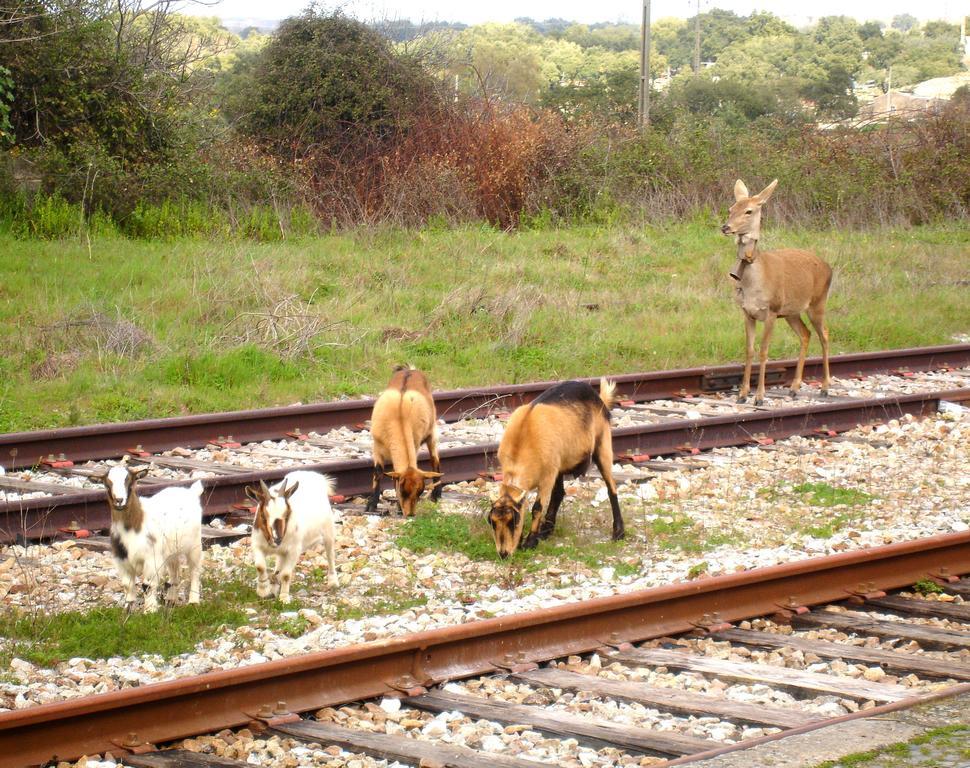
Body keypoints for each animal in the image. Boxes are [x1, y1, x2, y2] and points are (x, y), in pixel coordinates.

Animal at [244, 472, 338, 604]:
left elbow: (286, 575)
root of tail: (317, 476)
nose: (277, 539)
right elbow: (260, 567)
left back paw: (333, 582)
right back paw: (274, 586)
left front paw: (284, 598)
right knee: (279, 563)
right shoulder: (257, 545)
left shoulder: (294, 550)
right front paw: (264, 591)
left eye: (287, 513)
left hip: (328, 530)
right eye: (263, 515)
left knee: (330, 555)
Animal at [366, 366, 442, 516]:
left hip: (432, 431)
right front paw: (371, 505)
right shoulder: (377, 446)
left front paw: (398, 508)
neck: (399, 416)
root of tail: (410, 369)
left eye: (419, 493)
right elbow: (378, 472)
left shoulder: (415, 442)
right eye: (403, 491)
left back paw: (436, 495)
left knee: (434, 459)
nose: (410, 514)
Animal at [488, 378, 624, 560]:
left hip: (602, 445)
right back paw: (546, 530)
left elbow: (537, 507)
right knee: (559, 493)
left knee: (612, 487)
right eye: (492, 522)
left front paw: (530, 542)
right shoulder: (552, 469)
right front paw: (535, 536)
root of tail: (599, 397)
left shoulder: (547, 475)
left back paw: (619, 532)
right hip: (561, 461)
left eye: (514, 521)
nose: (503, 554)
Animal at [720, 181, 832, 408]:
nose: (725, 227)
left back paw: (825, 388)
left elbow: (764, 350)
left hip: (817, 303)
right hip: (791, 312)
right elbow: (749, 349)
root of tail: (829, 267)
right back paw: (794, 388)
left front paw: (759, 397)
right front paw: (742, 394)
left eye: (749, 210)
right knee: (806, 334)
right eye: (730, 208)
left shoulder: (771, 311)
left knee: (824, 334)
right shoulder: (747, 312)